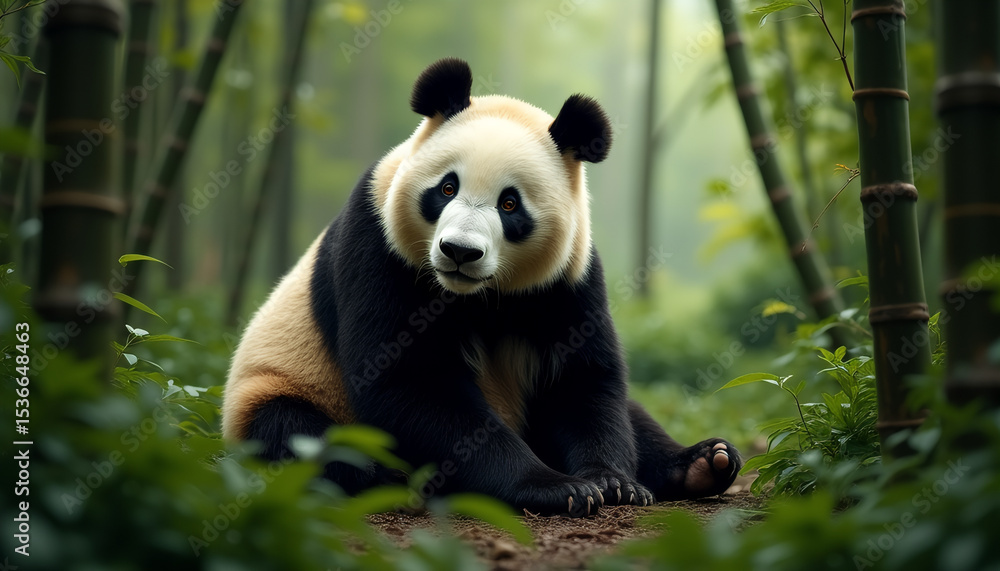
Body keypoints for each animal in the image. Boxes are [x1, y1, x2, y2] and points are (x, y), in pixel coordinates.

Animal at [223, 58, 741, 517]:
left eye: (510, 204)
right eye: (446, 188)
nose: (459, 251)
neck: (478, 295)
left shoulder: (568, 278)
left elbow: (582, 378)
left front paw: (614, 482)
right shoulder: (380, 246)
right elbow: (412, 379)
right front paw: (556, 487)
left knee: (635, 414)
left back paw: (705, 463)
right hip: (278, 389)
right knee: (299, 434)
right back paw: (392, 477)